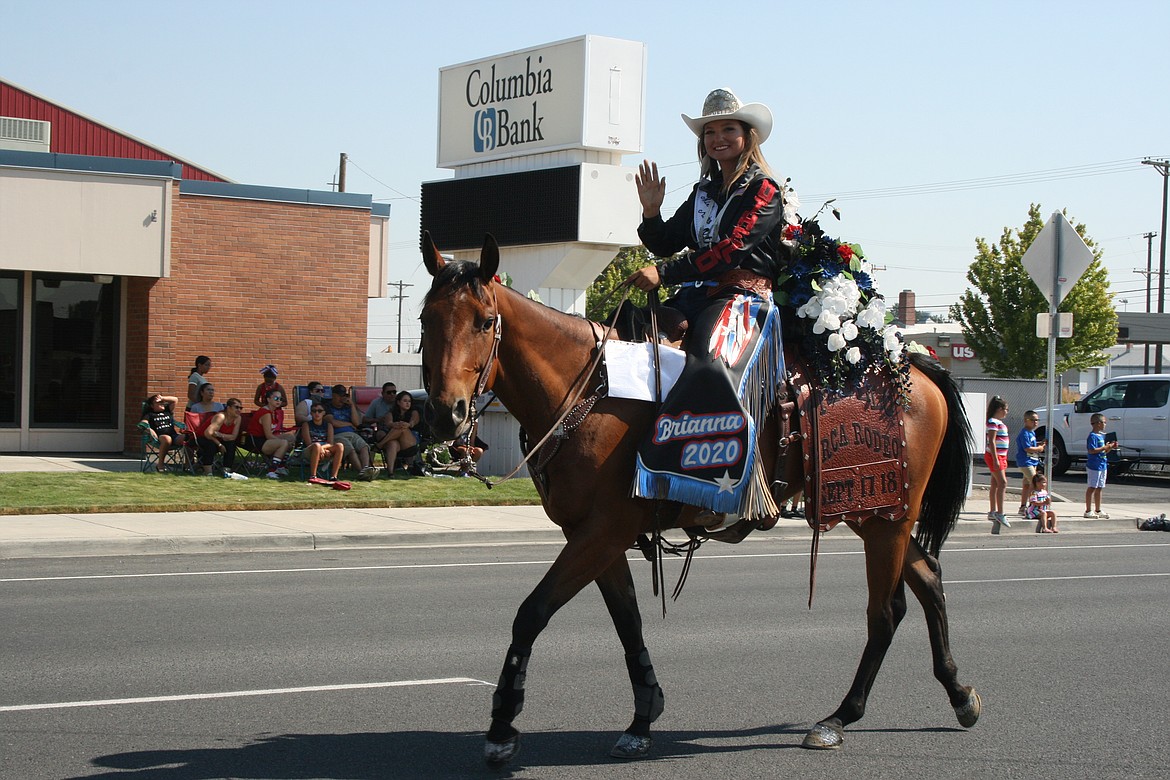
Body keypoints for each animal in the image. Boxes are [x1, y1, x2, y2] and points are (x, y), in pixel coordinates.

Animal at [421, 230, 978, 762]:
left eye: (484, 321)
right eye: (427, 319)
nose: (447, 413)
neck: (592, 392)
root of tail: (913, 368)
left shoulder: (603, 531)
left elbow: (532, 613)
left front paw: (502, 725)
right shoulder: (594, 534)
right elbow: (628, 621)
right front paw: (643, 716)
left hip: (885, 515)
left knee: (884, 611)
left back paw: (838, 718)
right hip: (874, 513)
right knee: (927, 580)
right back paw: (958, 694)